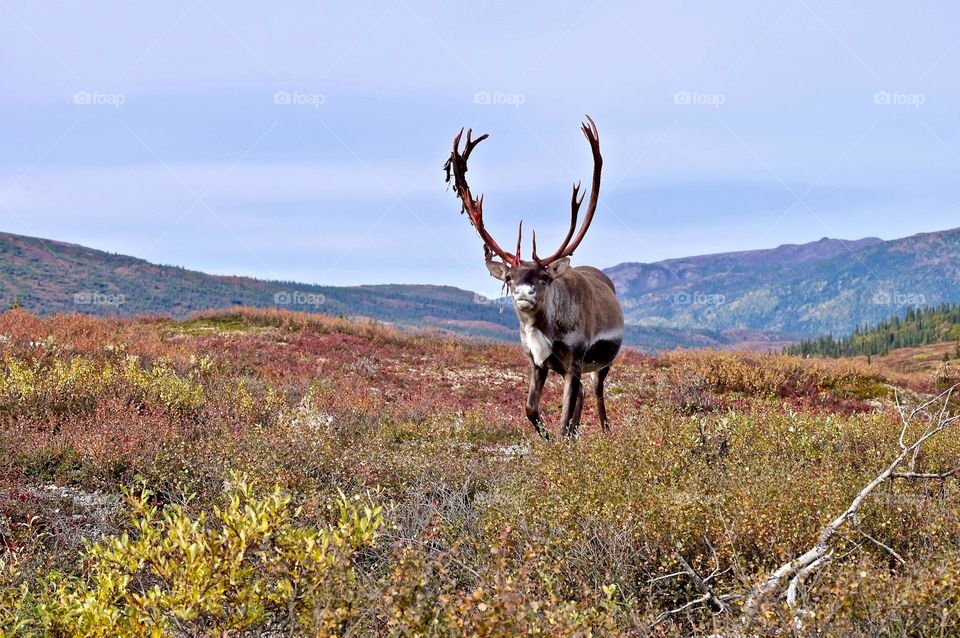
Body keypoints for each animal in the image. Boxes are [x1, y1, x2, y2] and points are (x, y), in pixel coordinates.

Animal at [444, 116, 624, 439]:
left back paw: (604, 431)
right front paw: (549, 437)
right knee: (582, 395)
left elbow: (564, 416)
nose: (524, 293)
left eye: (543, 276)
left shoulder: (575, 361)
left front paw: (559, 439)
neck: (546, 330)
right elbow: (530, 409)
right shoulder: (536, 362)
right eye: (509, 276)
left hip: (602, 362)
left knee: (596, 392)